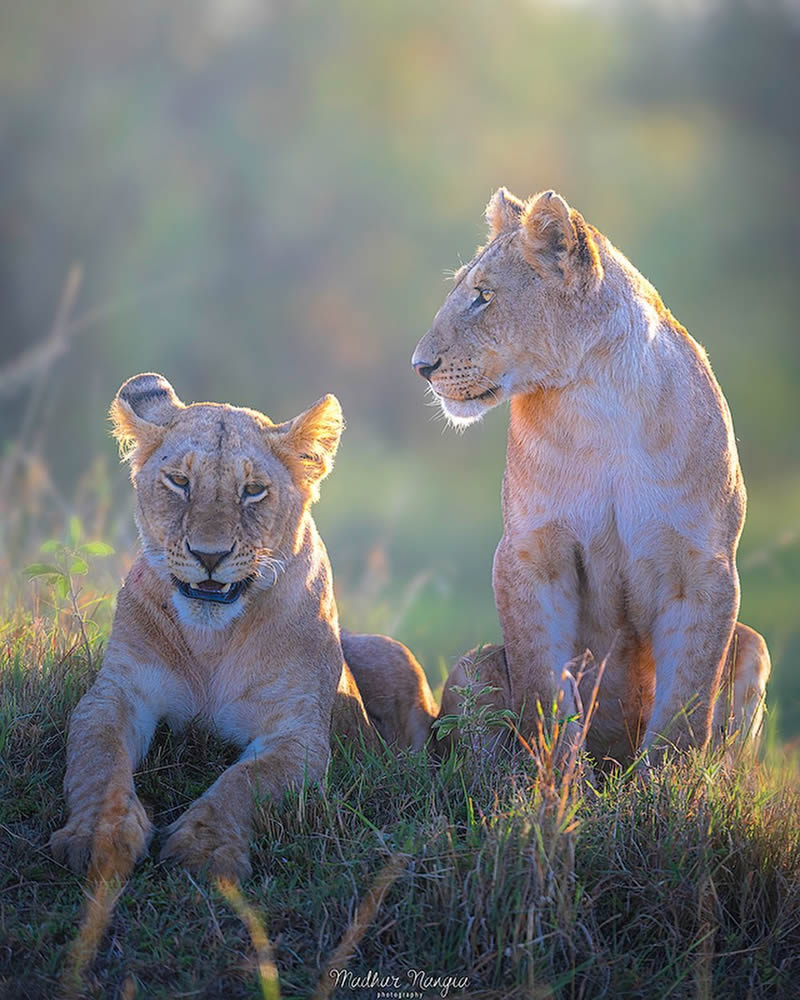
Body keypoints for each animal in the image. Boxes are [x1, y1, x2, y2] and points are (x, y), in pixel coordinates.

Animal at [48, 372, 438, 880]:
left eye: (253, 490)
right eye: (179, 482)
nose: (208, 556)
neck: (211, 639)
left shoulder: (298, 732)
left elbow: (244, 783)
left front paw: (205, 849)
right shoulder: (116, 693)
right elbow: (99, 760)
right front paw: (97, 835)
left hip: (394, 656)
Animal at [412, 189, 768, 764]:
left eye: (483, 296)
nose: (420, 366)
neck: (600, 401)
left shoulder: (705, 568)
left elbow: (685, 705)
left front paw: (663, 784)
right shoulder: (531, 553)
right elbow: (544, 692)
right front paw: (551, 780)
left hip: (754, 643)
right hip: (471, 667)